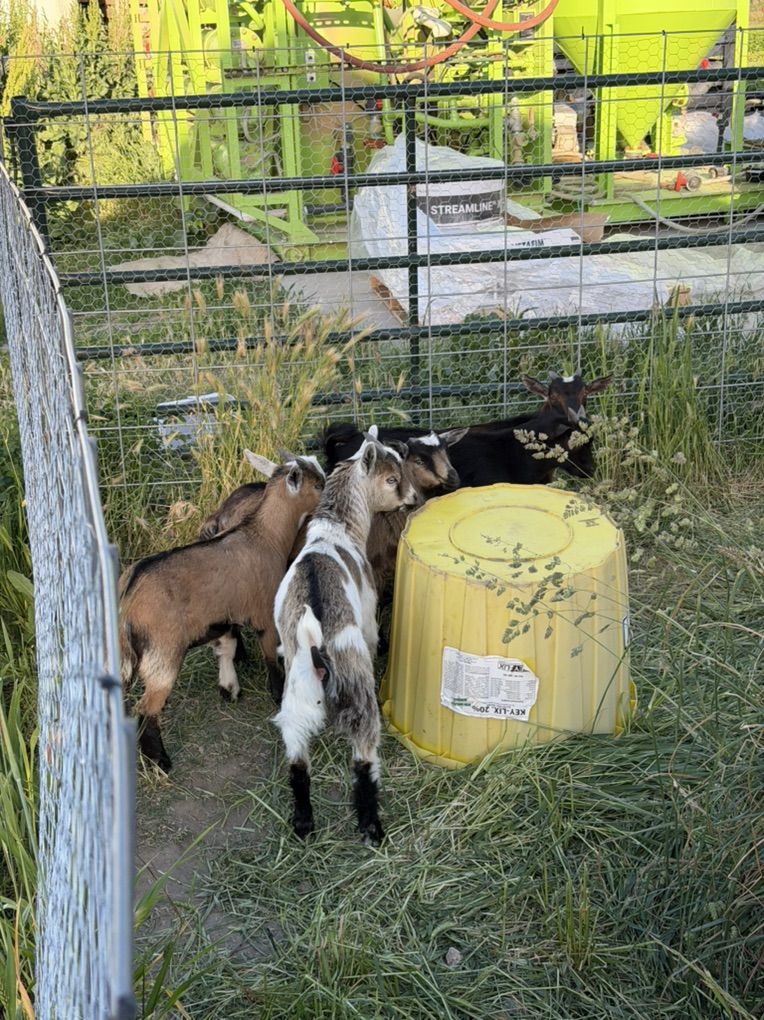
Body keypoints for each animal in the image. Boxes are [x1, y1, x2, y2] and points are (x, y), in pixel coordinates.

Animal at [120, 454, 325, 771]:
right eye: (316, 484)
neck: (264, 536)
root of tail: (130, 598)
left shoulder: (223, 615)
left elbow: (226, 647)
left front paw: (229, 689)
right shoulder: (265, 616)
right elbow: (271, 659)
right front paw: (277, 695)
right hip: (163, 653)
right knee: (146, 707)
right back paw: (160, 760)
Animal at [273, 431, 418, 845]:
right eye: (391, 478)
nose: (413, 497)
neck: (334, 531)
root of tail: (315, 626)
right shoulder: (368, 611)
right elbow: (374, 633)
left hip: (296, 690)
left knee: (296, 753)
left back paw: (304, 822)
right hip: (355, 677)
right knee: (364, 754)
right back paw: (371, 826)